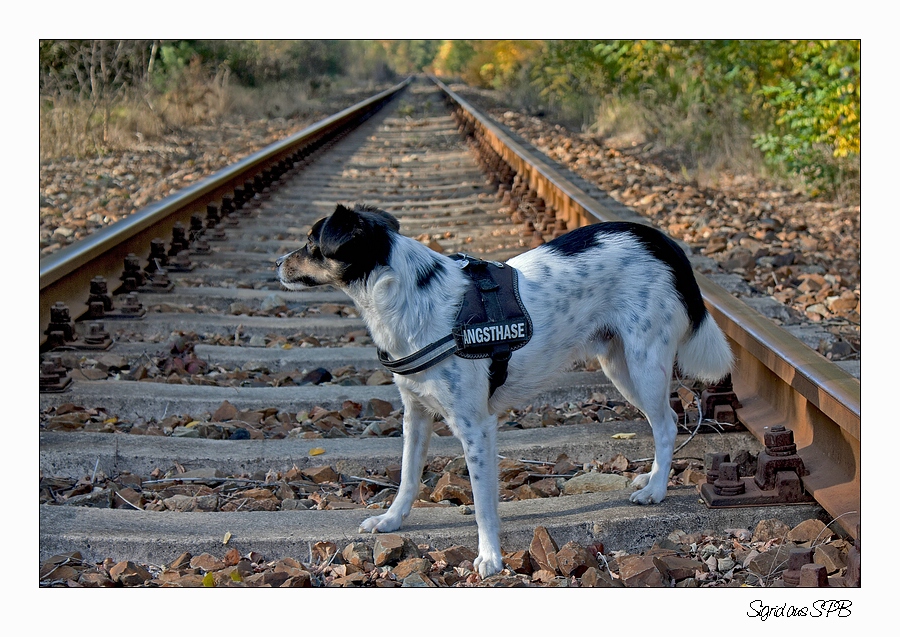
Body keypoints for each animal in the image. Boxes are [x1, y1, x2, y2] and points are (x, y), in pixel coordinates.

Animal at [278, 202, 736, 576]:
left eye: (311, 243)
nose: (277, 263)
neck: (407, 299)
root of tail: (661, 241)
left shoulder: (476, 427)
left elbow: (483, 503)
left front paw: (490, 557)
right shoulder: (416, 413)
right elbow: (408, 476)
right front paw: (391, 521)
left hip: (644, 363)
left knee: (668, 423)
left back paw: (656, 490)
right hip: (618, 364)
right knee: (664, 421)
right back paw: (651, 478)